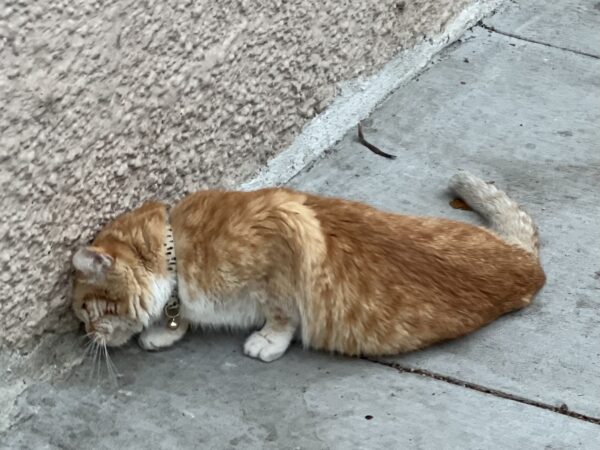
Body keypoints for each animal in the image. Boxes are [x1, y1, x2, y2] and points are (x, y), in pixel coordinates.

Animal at [72, 172, 548, 362]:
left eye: (83, 310)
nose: (87, 336)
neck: (179, 255)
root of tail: (526, 262)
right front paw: (167, 329)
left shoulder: (281, 253)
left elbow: (282, 313)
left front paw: (268, 340)